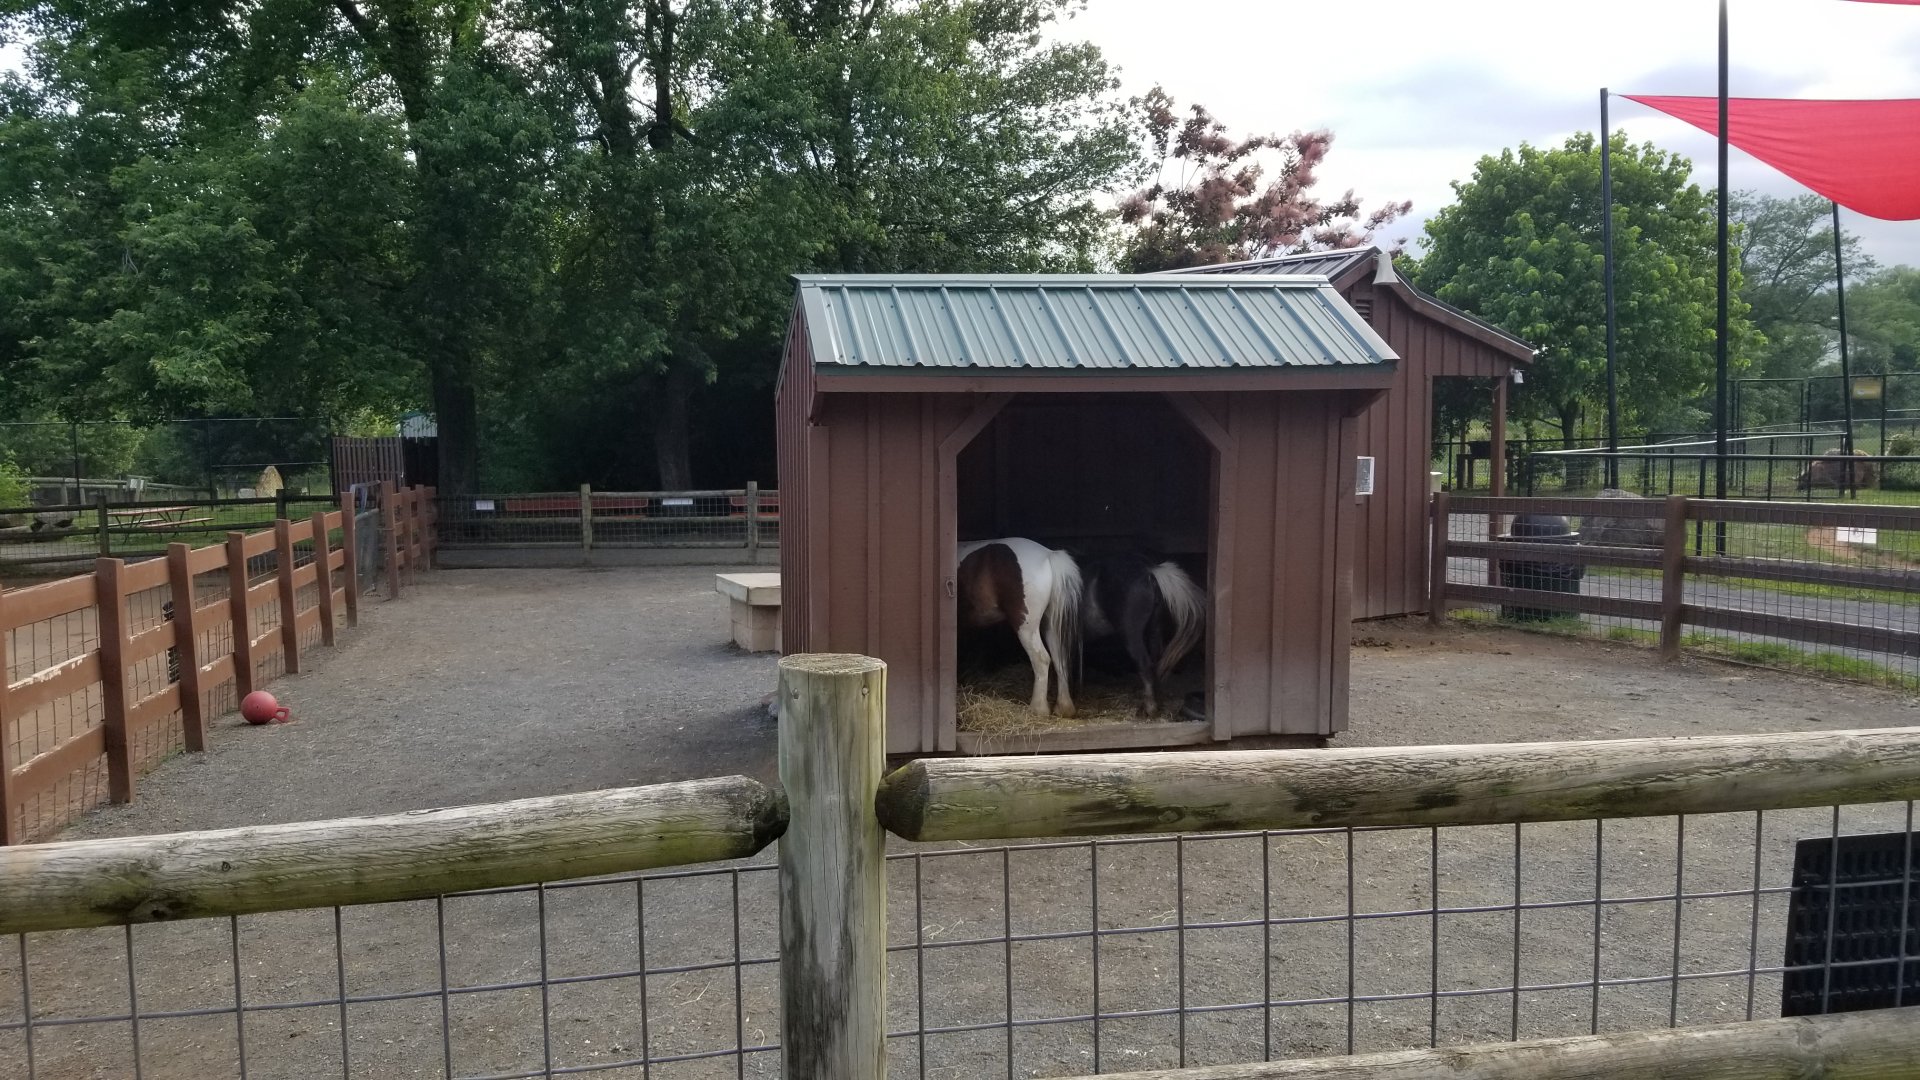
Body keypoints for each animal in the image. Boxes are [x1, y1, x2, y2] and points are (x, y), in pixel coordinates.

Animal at [956, 538, 1084, 717]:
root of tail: (1048, 555)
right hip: (1051, 625)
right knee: (1060, 659)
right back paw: (1064, 708)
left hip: (1026, 628)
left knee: (1041, 659)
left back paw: (1038, 709)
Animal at [1080, 550, 1207, 719]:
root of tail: (1149, 571)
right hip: (1154, 630)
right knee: (1156, 663)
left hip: (1131, 635)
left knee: (1144, 664)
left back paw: (1149, 709)